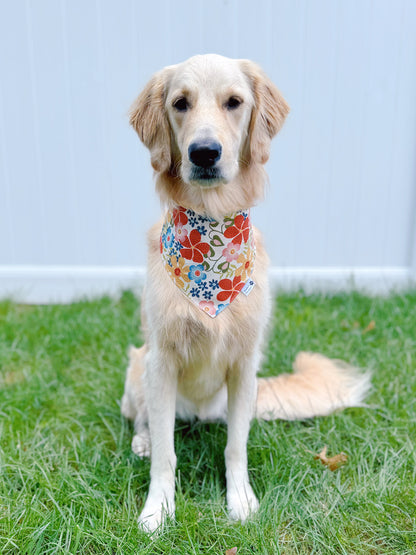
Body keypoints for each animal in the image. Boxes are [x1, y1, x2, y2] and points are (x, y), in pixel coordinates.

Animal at [121, 53, 370, 536]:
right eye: (180, 103)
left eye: (234, 102)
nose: (204, 152)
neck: (211, 232)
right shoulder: (161, 361)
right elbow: (166, 453)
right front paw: (158, 509)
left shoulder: (244, 363)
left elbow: (235, 447)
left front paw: (240, 501)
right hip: (137, 367)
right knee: (144, 421)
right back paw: (141, 440)